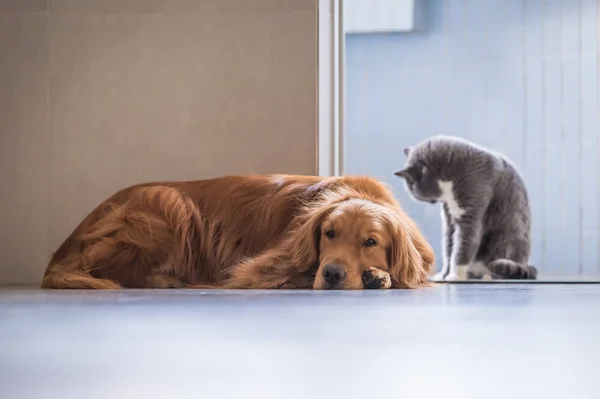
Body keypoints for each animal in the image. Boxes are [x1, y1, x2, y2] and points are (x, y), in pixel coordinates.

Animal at [42, 175, 436, 290]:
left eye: (371, 242)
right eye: (329, 233)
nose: (333, 274)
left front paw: (379, 275)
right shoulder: (260, 266)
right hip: (172, 203)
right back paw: (165, 280)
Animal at [396, 136, 536, 282]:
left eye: (412, 186)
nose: (413, 194)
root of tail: (525, 264)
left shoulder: (470, 213)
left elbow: (462, 247)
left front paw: (455, 275)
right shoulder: (449, 220)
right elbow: (448, 249)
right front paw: (443, 275)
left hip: (509, 239)